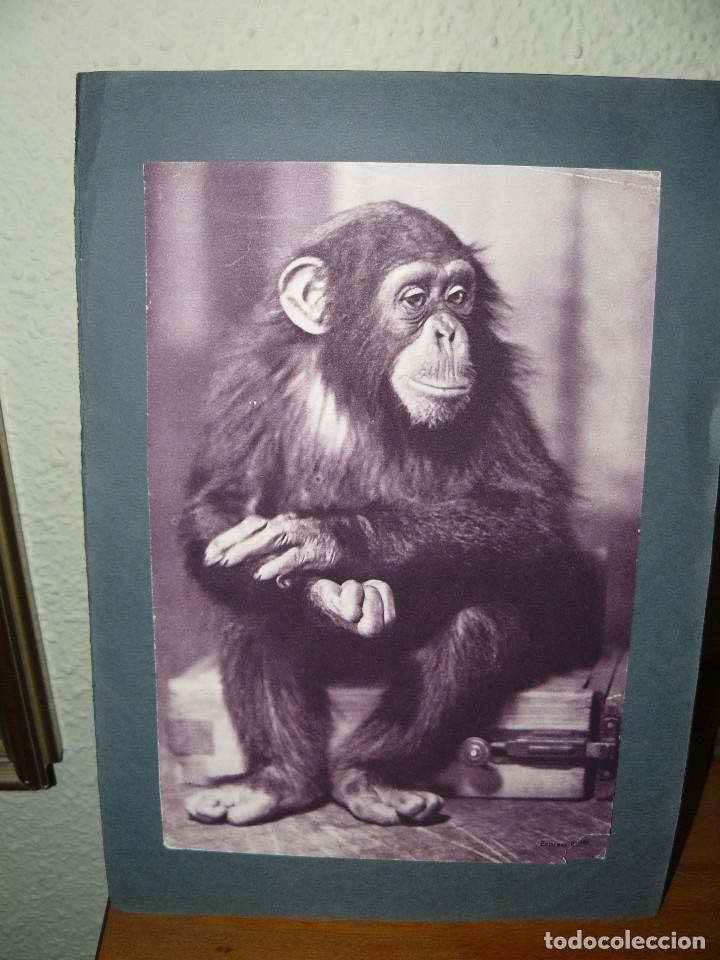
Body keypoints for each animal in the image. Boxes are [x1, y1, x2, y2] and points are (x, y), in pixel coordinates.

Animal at [179, 200, 599, 827]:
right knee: (249, 603)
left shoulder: (494, 380)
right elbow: (222, 507)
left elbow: (532, 516)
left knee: (479, 624)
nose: (448, 331)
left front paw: (329, 541)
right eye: (414, 299)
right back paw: (277, 778)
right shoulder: (249, 377)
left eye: (457, 295)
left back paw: (370, 776)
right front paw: (325, 592)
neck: (362, 388)